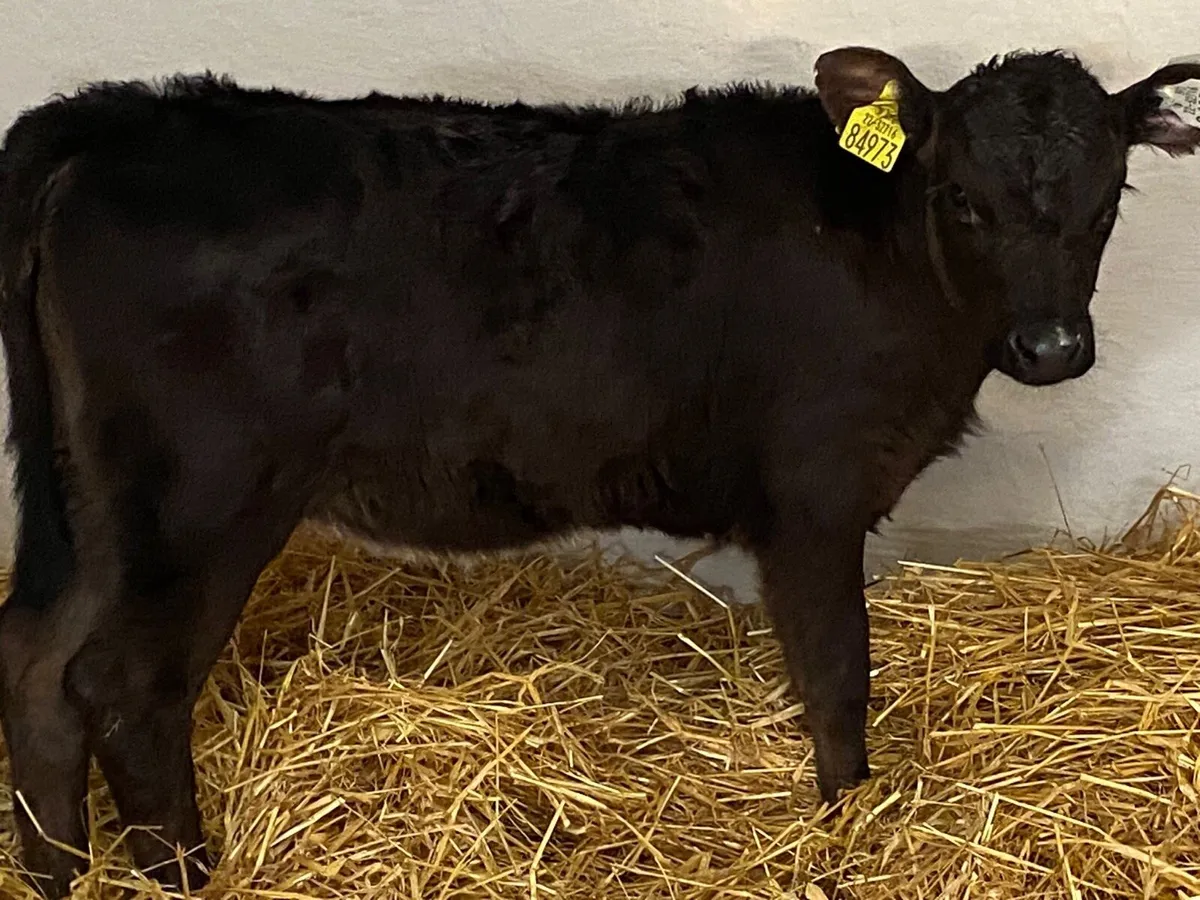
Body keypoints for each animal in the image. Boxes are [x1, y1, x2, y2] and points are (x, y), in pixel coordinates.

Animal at [0, 44, 1197, 896]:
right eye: (961, 199)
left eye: (1108, 203)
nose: (1052, 346)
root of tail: (118, 115)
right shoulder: (813, 495)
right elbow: (836, 681)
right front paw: (849, 828)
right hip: (199, 497)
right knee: (127, 687)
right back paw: (189, 877)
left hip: (98, 501)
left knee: (38, 661)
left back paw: (59, 875)